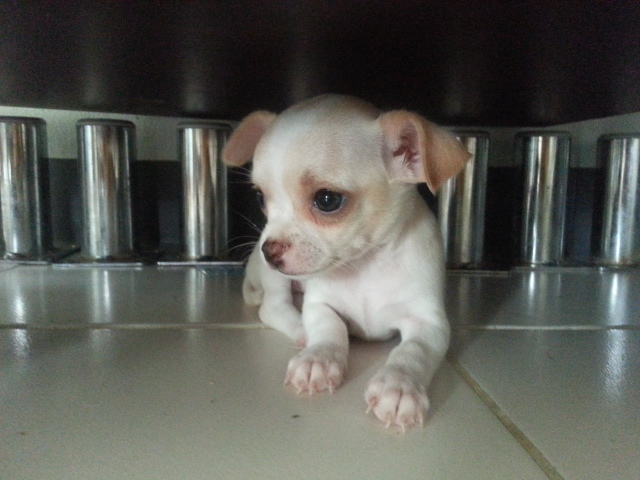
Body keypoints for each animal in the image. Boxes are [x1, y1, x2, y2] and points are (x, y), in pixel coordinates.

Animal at [222, 95, 470, 430]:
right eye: (260, 197)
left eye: (327, 200)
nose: (269, 251)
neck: (365, 265)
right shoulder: (320, 305)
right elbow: (330, 328)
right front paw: (318, 358)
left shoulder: (429, 324)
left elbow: (412, 351)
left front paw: (398, 386)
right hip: (275, 279)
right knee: (272, 307)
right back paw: (301, 331)